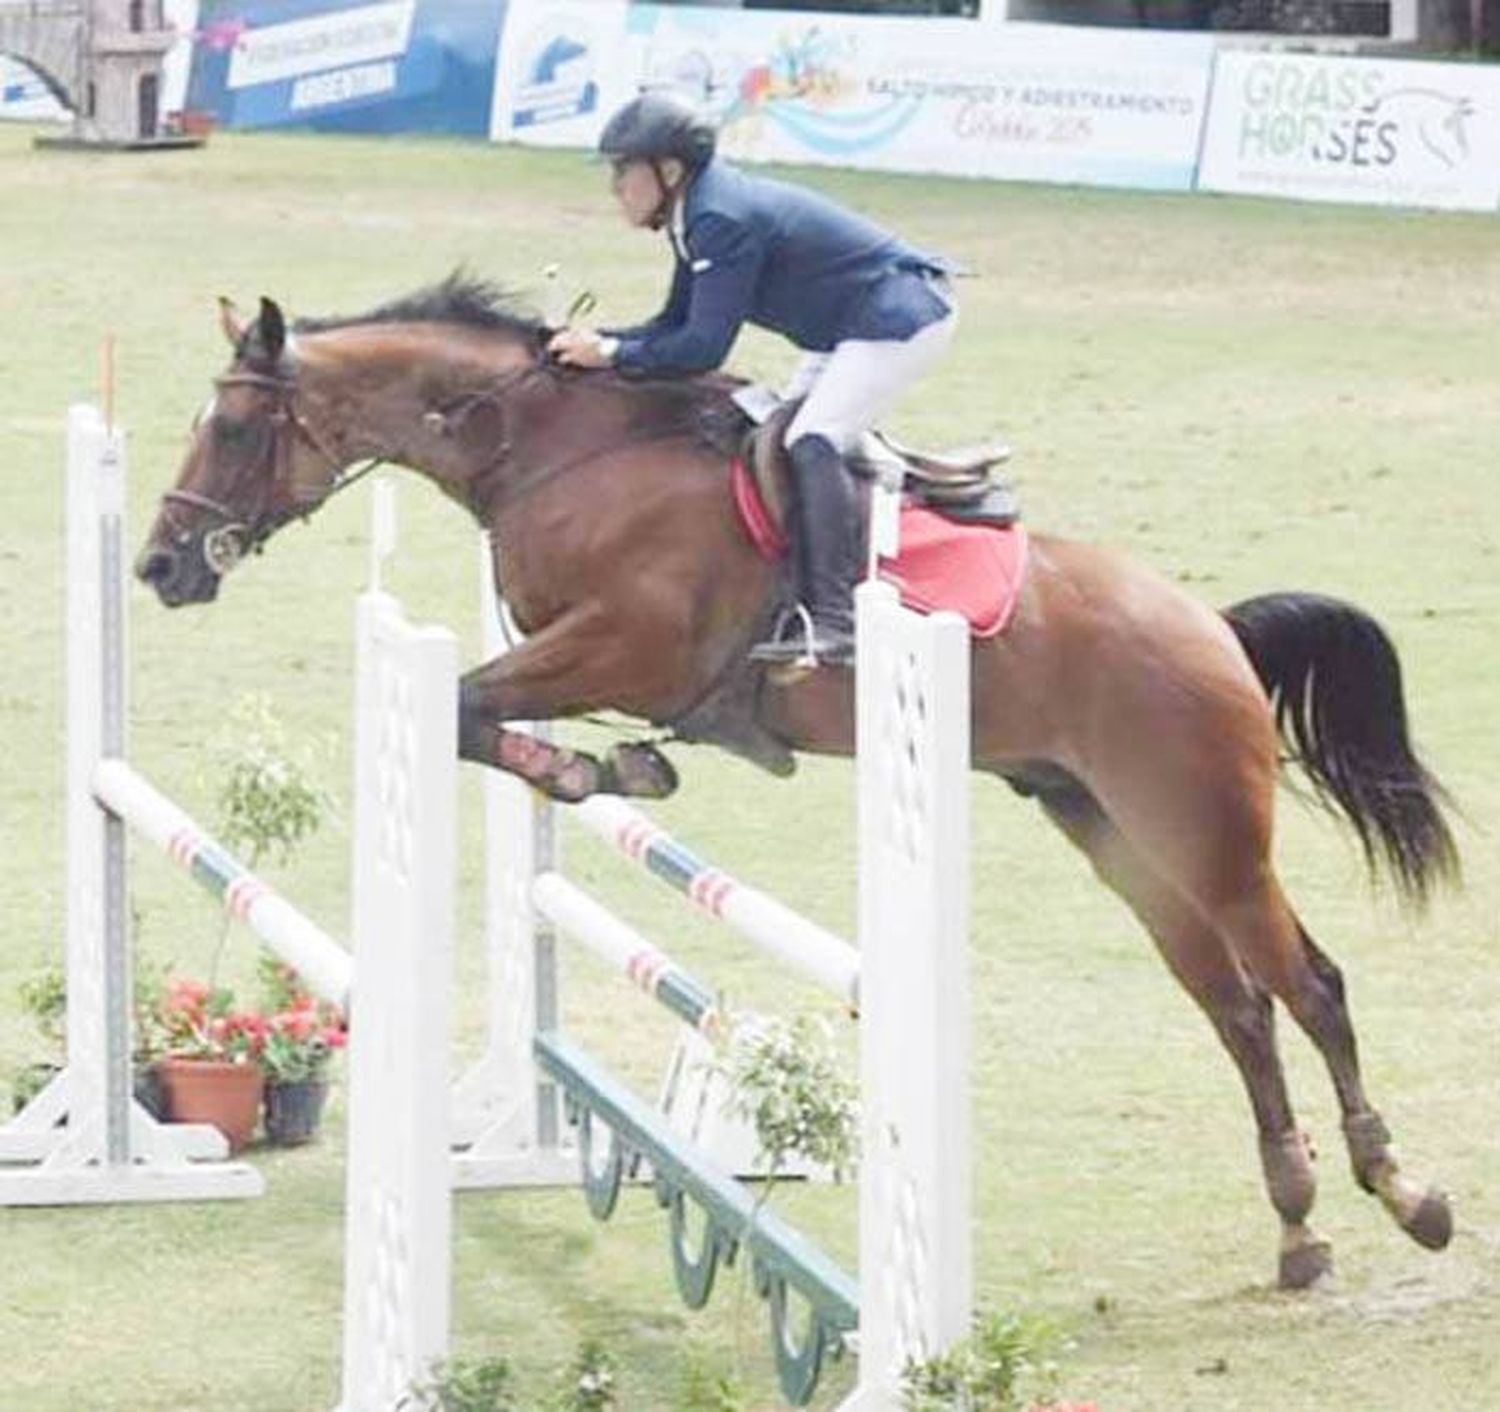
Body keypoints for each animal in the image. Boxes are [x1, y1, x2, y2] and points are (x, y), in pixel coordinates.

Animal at [135, 273, 1458, 1290]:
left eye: (236, 430)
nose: (159, 565)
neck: (565, 453)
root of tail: (1215, 629)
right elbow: (472, 712)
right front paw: (602, 760)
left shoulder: (625, 646)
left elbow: (466, 703)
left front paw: (592, 759)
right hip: (1118, 837)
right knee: (1236, 1007)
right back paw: (1298, 1227)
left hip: (1210, 836)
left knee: (1310, 985)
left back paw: (1406, 1190)